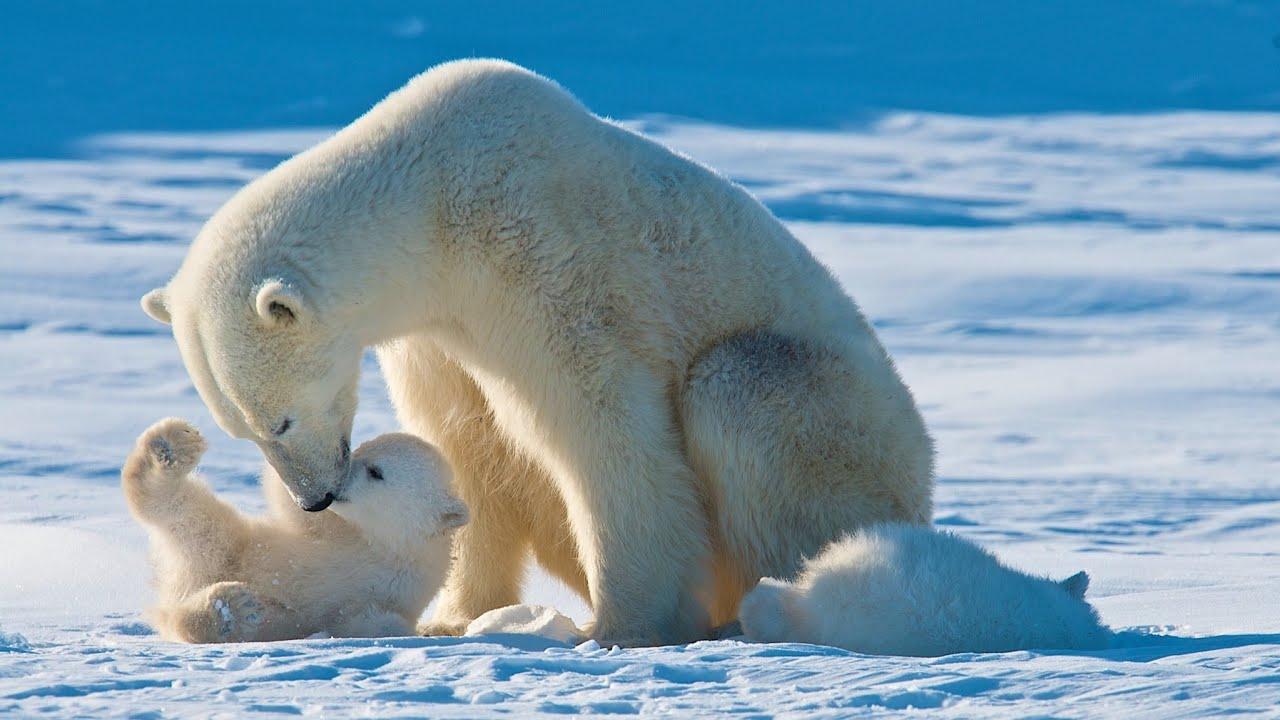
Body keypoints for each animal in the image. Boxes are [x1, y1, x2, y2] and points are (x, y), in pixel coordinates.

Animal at [140, 58, 936, 640]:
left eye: (278, 420)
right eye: (240, 427)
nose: (314, 500)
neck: (434, 202)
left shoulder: (544, 260)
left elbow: (603, 432)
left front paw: (618, 628)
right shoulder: (435, 331)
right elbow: (470, 442)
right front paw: (455, 618)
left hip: (848, 429)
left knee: (741, 391)